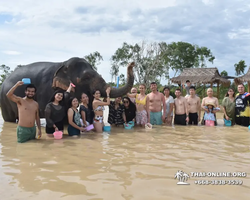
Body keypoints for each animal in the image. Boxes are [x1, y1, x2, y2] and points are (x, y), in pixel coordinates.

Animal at [0, 56, 135, 122]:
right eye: (86, 77)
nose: (132, 63)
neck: (62, 64)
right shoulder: (46, 88)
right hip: (5, 102)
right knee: (9, 119)